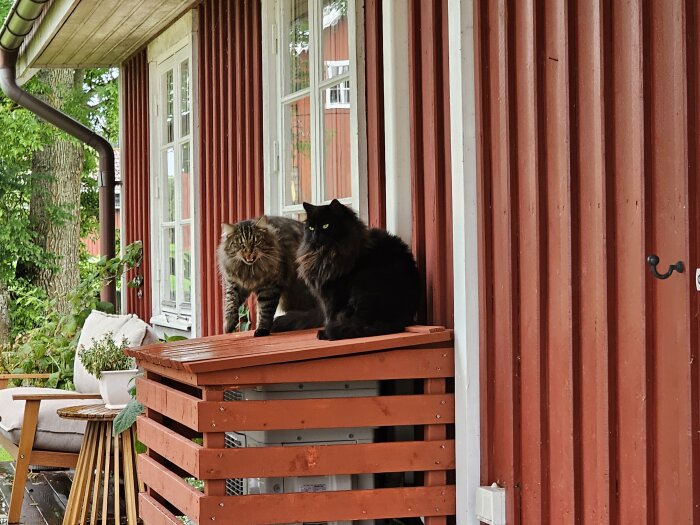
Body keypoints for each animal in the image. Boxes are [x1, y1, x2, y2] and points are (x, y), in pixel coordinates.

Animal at [296, 198, 418, 340]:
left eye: (326, 225)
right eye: (311, 228)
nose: (315, 234)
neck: (325, 254)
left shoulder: (334, 294)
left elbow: (331, 316)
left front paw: (326, 331)